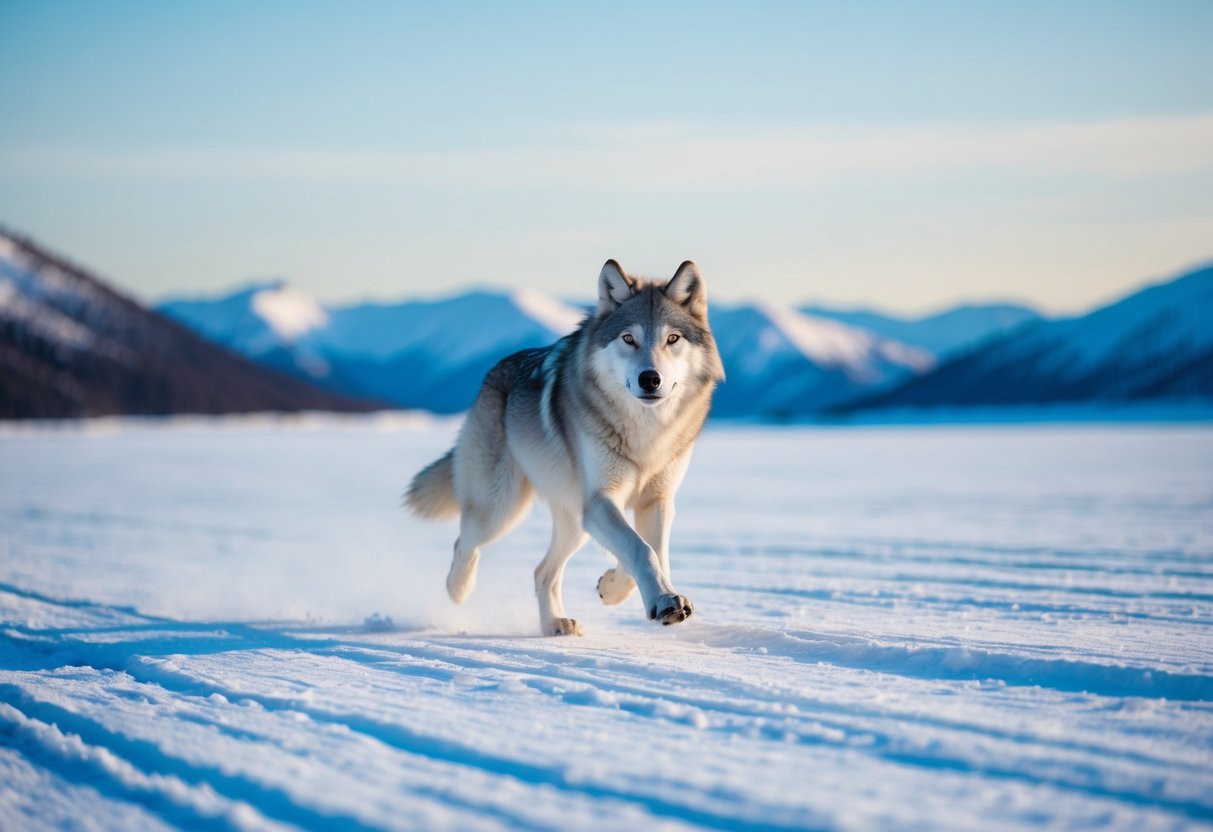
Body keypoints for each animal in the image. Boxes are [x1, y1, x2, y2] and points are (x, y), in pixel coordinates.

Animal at [406, 259, 724, 635]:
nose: (650, 379)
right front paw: (663, 602)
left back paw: (554, 624)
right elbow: (640, 548)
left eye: (672, 339)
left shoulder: (655, 501)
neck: (645, 434)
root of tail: (489, 377)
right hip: (501, 509)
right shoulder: (600, 501)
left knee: (542, 571)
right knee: (465, 543)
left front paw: (615, 588)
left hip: (574, 524)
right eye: (628, 338)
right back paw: (458, 589)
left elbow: (650, 551)